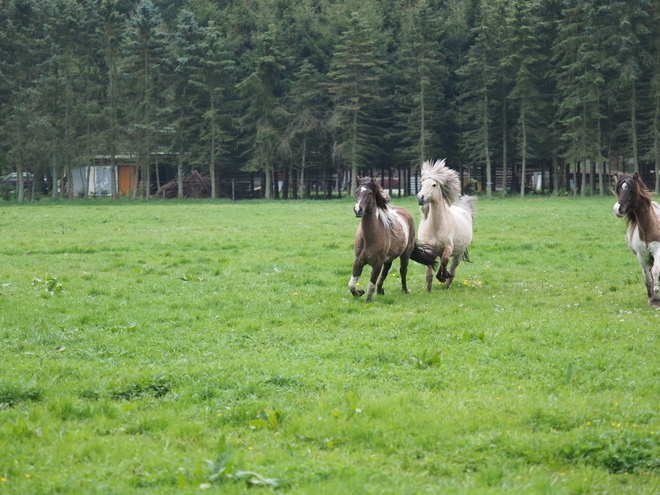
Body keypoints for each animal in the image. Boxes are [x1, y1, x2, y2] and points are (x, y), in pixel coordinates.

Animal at [348, 176, 436, 304]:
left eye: (370, 193)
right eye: (356, 192)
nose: (358, 210)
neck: (369, 238)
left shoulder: (377, 263)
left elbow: (371, 284)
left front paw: (368, 300)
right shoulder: (358, 260)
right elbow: (352, 284)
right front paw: (359, 292)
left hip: (405, 255)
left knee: (402, 271)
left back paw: (404, 290)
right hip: (389, 257)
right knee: (386, 270)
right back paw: (380, 290)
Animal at [418, 159, 474, 290]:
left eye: (434, 185)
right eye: (422, 184)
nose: (420, 198)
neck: (435, 227)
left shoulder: (448, 247)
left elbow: (444, 260)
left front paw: (442, 276)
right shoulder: (428, 250)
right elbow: (429, 273)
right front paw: (429, 290)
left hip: (459, 254)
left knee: (452, 268)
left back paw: (447, 284)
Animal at [612, 172, 660, 308]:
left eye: (631, 190)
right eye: (619, 190)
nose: (617, 209)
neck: (649, 227)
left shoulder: (658, 251)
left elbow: (655, 271)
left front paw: (656, 297)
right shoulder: (642, 256)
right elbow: (647, 277)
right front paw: (651, 298)